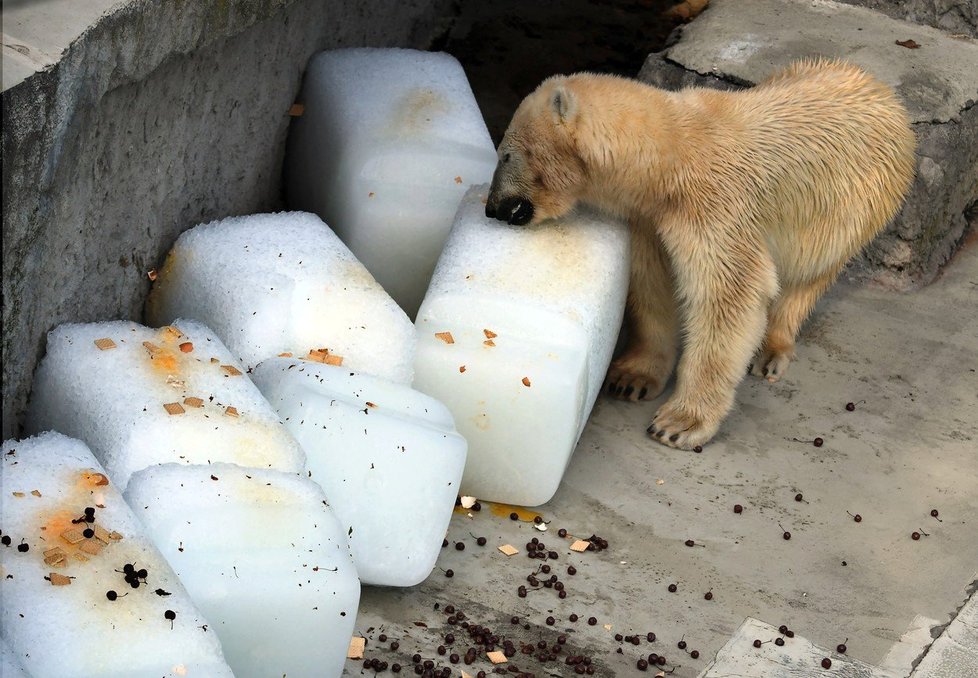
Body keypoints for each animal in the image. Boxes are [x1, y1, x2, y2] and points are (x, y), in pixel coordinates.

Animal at [486, 59, 916, 452]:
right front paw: (632, 378)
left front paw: (679, 423)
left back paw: (771, 350)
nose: (492, 208)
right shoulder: (651, 218)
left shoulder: (716, 206)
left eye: (505, 154)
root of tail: (886, 94)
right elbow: (653, 284)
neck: (669, 156)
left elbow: (728, 298)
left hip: (854, 205)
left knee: (808, 277)